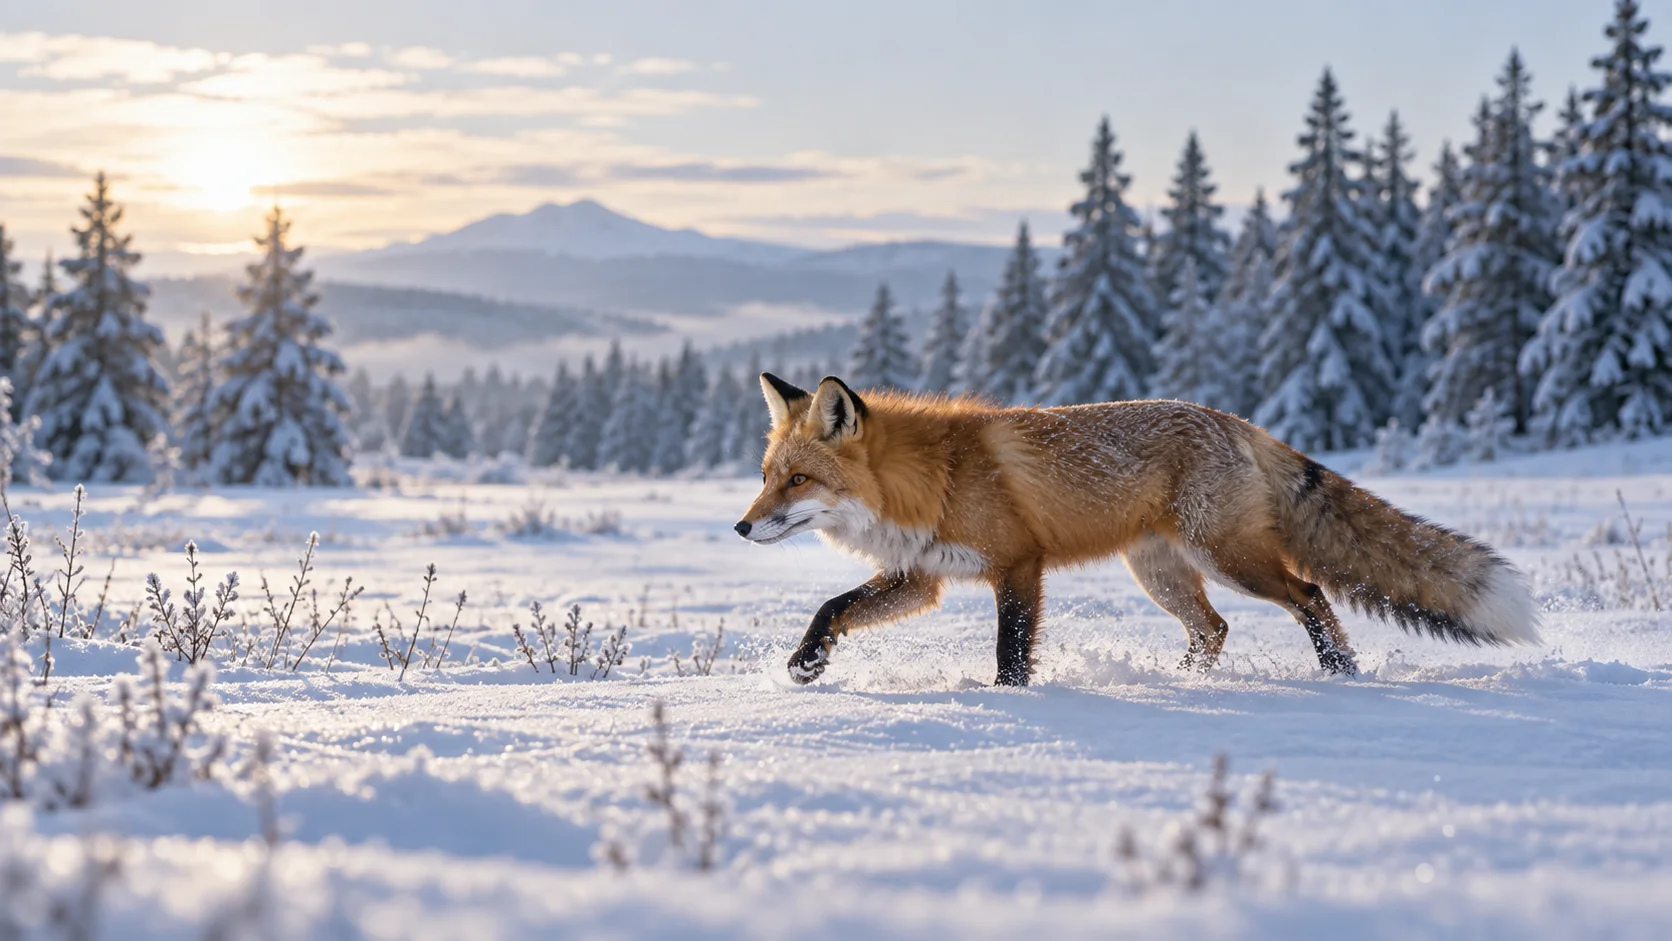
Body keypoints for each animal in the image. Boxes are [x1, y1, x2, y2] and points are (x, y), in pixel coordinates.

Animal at [733, 373, 1540, 686]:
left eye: (797, 481)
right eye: (768, 474)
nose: (740, 527)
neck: (933, 478)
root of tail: (1237, 421)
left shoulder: (1017, 565)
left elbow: (1011, 650)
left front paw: (1008, 701)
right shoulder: (923, 576)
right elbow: (832, 607)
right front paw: (807, 663)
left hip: (1230, 558)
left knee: (1309, 594)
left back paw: (1340, 671)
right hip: (1159, 575)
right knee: (1214, 630)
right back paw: (1180, 682)